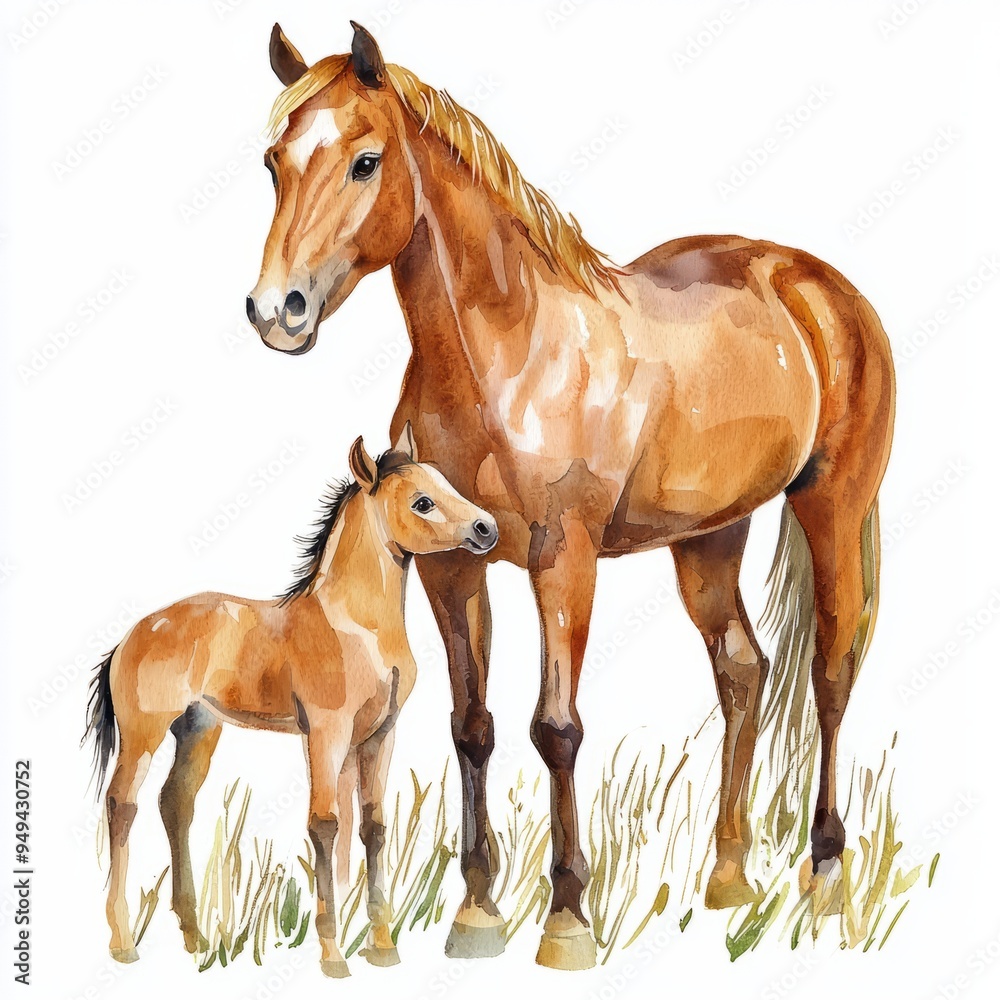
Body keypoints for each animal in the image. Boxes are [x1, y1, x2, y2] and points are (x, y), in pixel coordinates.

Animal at [83, 428, 499, 978]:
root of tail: (131, 636)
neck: (358, 627)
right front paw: (333, 955)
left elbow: (373, 826)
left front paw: (383, 948)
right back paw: (123, 941)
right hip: (143, 734)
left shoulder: (380, 735)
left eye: (444, 482)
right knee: (121, 804)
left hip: (198, 730)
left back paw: (194, 937)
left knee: (175, 803)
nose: (487, 528)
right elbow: (325, 825)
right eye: (422, 502)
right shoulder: (325, 733)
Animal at [245, 23, 895, 971]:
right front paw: (477, 914)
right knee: (743, 670)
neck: (508, 355)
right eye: (274, 163)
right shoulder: (452, 569)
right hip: (710, 537)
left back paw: (826, 874)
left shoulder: (564, 561)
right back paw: (728, 877)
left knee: (831, 673)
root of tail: (821, 287)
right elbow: (472, 724)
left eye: (365, 161)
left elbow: (557, 727)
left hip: (832, 511)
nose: (276, 312)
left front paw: (565, 920)